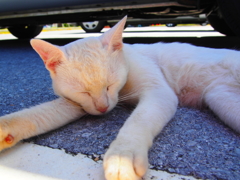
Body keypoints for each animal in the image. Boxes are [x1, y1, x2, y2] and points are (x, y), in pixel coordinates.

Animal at [0, 16, 239, 179]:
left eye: (110, 85)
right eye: (84, 92)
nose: (103, 108)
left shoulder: (157, 92)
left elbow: (138, 121)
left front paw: (122, 157)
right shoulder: (77, 104)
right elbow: (40, 114)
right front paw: (5, 129)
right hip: (222, 100)